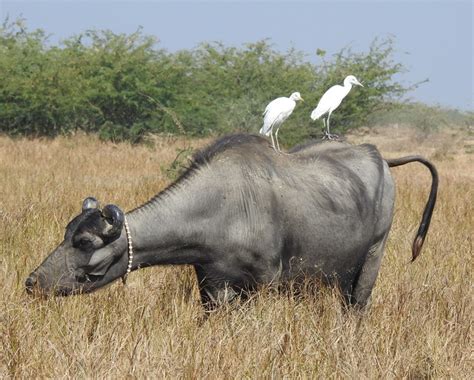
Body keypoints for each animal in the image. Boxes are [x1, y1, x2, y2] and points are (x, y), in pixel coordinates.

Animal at [25, 135, 438, 310]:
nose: (33, 282)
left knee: (357, 305)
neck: (224, 208)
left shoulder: (264, 283)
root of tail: (377, 154)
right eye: (67, 233)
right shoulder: (211, 283)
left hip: (371, 259)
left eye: (85, 243)